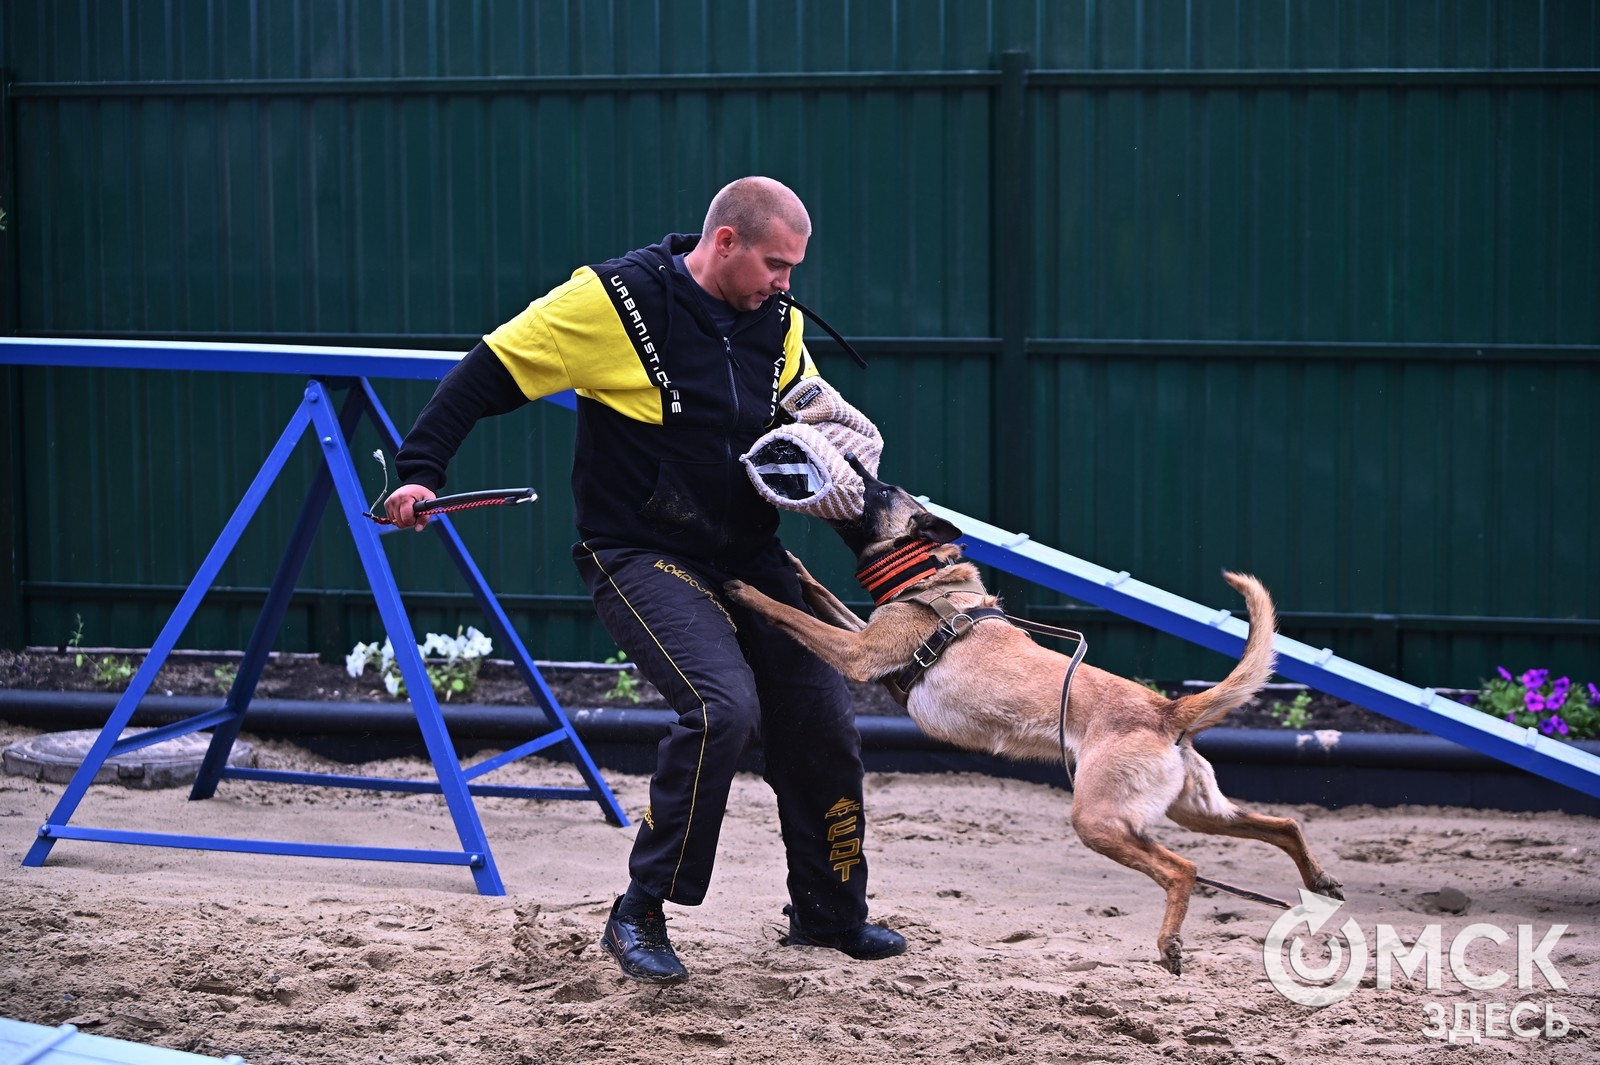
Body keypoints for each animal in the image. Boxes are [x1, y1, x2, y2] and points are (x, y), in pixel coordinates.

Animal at [732, 457, 1344, 972]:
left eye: (880, 490)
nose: (856, 465)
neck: (924, 581)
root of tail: (1166, 709)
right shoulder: (864, 641)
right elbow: (819, 597)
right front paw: (795, 566)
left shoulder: (858, 656)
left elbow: (791, 613)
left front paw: (744, 588)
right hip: (1193, 810)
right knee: (1284, 825)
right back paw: (1320, 881)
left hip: (1099, 820)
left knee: (1184, 869)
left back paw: (1169, 943)